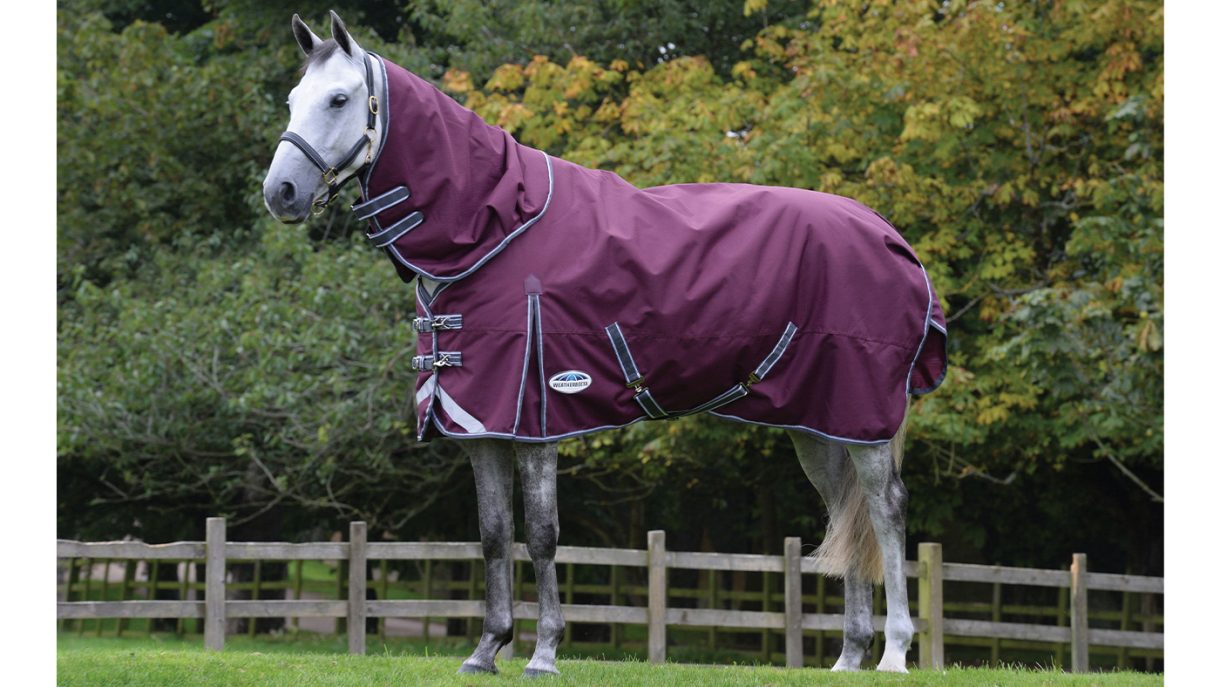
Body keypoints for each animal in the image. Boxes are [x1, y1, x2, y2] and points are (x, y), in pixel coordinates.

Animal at [263, 11, 947, 677]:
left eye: (340, 99)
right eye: (294, 99)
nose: (280, 194)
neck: (495, 230)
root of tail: (888, 234)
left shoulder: (536, 417)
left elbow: (540, 533)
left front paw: (543, 652)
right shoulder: (482, 423)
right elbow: (492, 533)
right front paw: (486, 650)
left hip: (864, 417)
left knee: (884, 509)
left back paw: (893, 654)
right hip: (821, 424)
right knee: (844, 512)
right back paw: (848, 657)